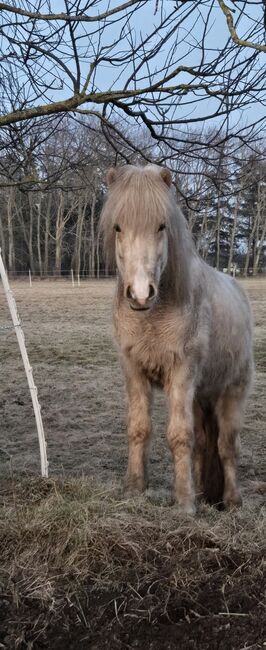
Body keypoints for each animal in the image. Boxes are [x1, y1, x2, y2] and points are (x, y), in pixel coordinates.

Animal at [98, 162, 252, 512]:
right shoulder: (134, 371)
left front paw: (183, 504)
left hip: (231, 393)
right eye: (118, 227)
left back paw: (232, 501)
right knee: (205, 443)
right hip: (201, 396)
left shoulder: (180, 374)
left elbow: (180, 436)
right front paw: (135, 489)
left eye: (161, 226)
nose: (141, 294)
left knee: (227, 447)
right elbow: (139, 429)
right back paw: (203, 493)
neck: (152, 316)